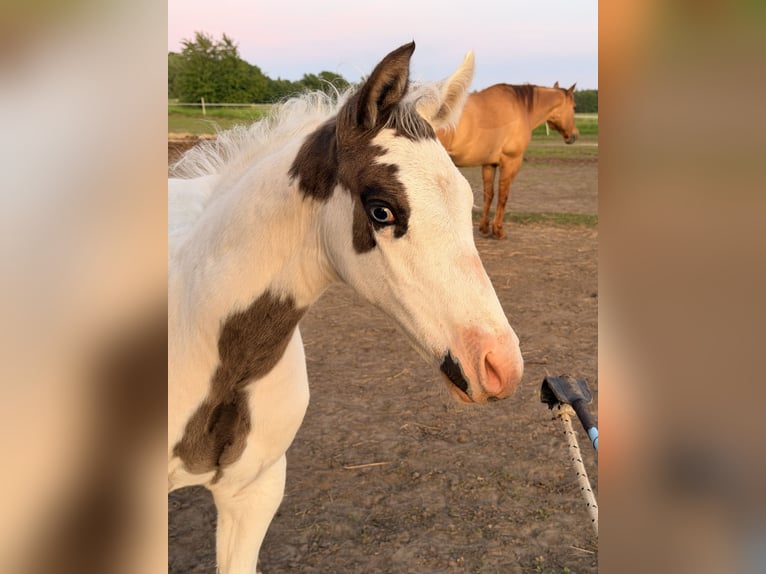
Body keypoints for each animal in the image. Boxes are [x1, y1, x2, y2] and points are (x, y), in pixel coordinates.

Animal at [437, 82, 579, 239]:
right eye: (574, 107)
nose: (574, 135)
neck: (521, 106)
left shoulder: (489, 164)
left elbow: (489, 195)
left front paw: (484, 228)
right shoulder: (511, 162)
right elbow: (503, 196)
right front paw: (498, 230)